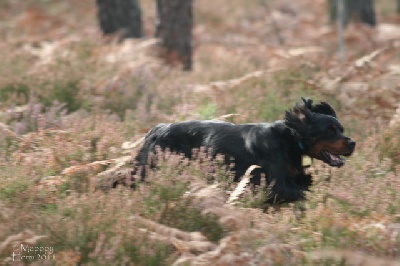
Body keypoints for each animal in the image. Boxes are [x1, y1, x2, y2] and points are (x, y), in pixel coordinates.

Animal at [134, 98, 356, 203]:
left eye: (341, 129)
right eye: (329, 131)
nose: (353, 143)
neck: (289, 141)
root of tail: (157, 129)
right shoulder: (270, 185)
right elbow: (301, 192)